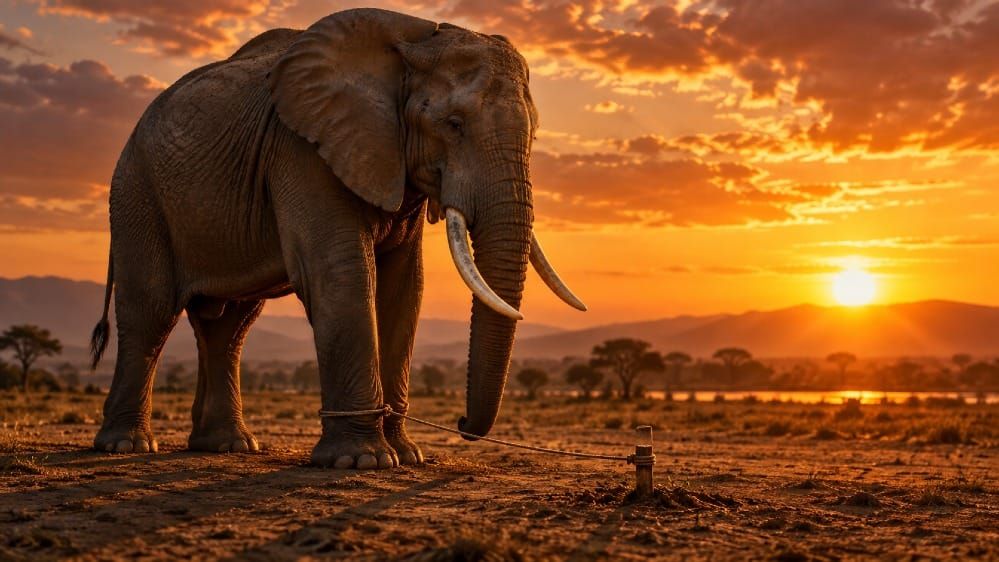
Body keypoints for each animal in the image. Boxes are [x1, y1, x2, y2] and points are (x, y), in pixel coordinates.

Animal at [88, 8, 585, 469]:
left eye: (534, 132)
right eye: (454, 123)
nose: (462, 424)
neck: (413, 41)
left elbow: (404, 288)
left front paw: (407, 456)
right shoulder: (302, 148)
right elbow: (342, 273)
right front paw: (362, 461)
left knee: (229, 326)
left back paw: (227, 446)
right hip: (136, 193)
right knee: (151, 311)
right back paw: (126, 446)